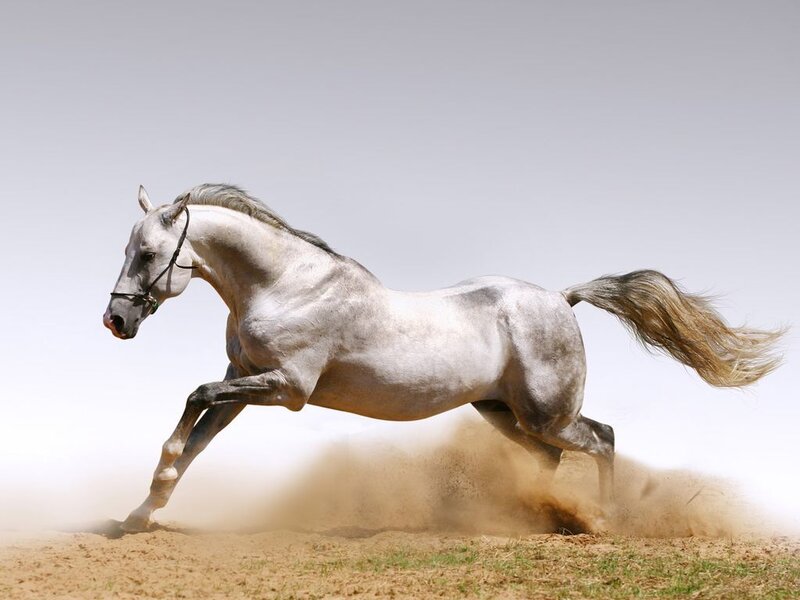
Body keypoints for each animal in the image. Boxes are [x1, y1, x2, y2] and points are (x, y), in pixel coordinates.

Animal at [104, 184, 783, 533]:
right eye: (131, 249)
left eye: (148, 253)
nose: (116, 321)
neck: (285, 284)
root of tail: (561, 299)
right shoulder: (244, 379)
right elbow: (197, 438)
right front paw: (141, 512)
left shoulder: (286, 388)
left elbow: (192, 401)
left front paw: (149, 494)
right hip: (501, 412)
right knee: (553, 458)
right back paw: (535, 517)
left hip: (547, 413)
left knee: (604, 438)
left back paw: (603, 521)